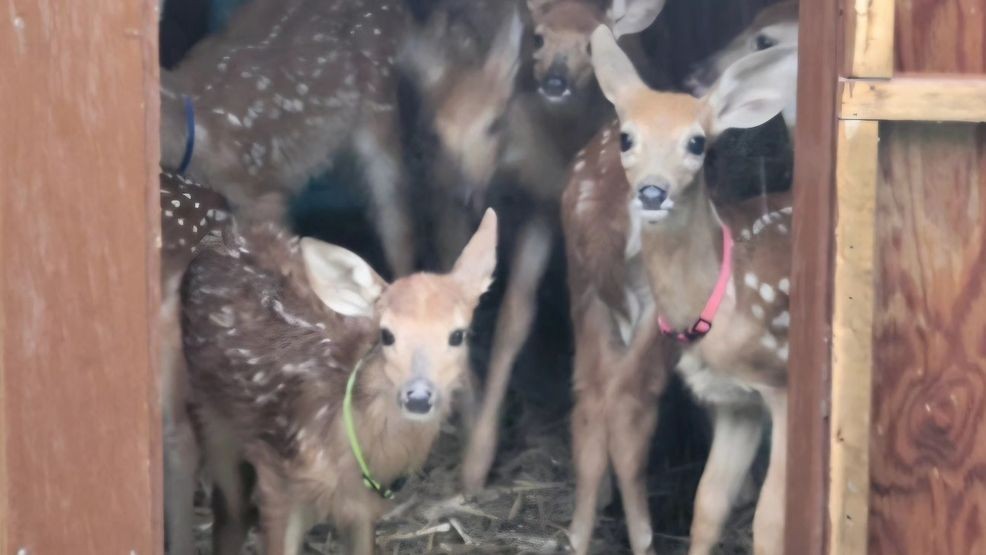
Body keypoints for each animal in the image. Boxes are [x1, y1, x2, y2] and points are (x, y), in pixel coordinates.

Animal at [179, 196, 499, 555]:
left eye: (458, 335)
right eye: (386, 334)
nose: (418, 396)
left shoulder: (365, 507)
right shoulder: (277, 479)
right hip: (214, 420)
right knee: (230, 512)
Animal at [561, 25, 797, 554]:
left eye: (696, 142)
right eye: (627, 136)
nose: (653, 191)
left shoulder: (783, 386)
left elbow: (771, 523)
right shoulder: (734, 399)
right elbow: (708, 504)